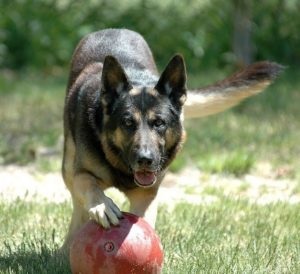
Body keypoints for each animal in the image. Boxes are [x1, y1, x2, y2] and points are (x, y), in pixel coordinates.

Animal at [62, 28, 282, 249]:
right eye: (128, 123)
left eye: (159, 123)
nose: (145, 160)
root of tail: (112, 30)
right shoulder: (80, 174)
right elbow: (89, 186)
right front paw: (102, 206)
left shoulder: (146, 195)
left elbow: (144, 221)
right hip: (67, 165)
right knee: (77, 203)